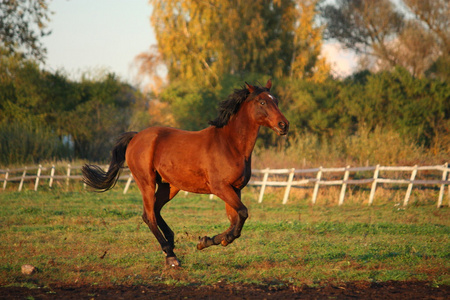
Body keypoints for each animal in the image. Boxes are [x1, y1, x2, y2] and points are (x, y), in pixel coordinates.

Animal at [81, 78, 288, 266]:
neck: (230, 145)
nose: (284, 125)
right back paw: (170, 255)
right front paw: (218, 240)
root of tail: (136, 136)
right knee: (148, 216)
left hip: (169, 186)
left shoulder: (235, 189)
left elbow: (234, 219)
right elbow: (242, 214)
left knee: (156, 211)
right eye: (262, 102)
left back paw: (171, 244)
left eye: (276, 100)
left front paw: (207, 241)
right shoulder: (220, 188)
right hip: (146, 181)